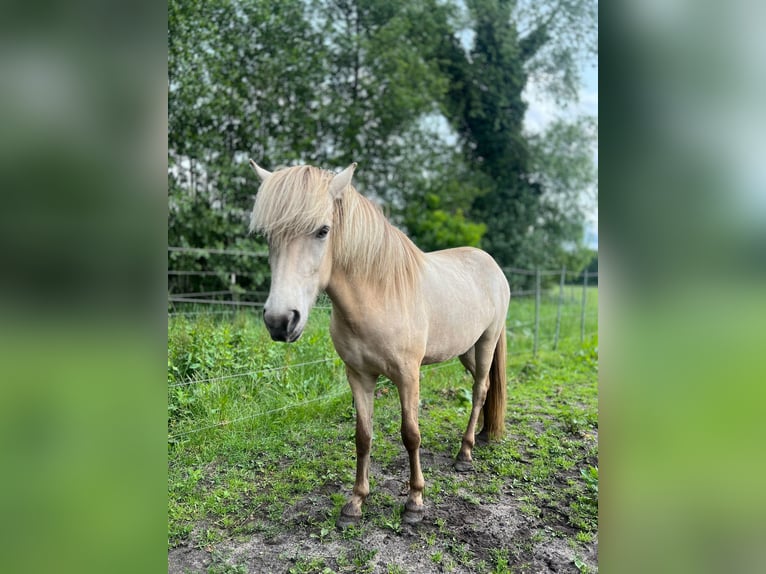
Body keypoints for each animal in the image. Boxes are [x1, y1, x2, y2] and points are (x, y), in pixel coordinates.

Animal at [248, 161, 510, 527]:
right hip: (465, 349)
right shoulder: (358, 375)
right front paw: (355, 503)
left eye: (323, 230)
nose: (280, 321)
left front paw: (415, 501)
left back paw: (465, 453)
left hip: (487, 341)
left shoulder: (408, 376)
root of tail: (491, 263)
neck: (379, 295)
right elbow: (363, 436)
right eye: (268, 235)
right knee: (482, 389)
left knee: (480, 390)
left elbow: (410, 434)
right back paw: (484, 435)